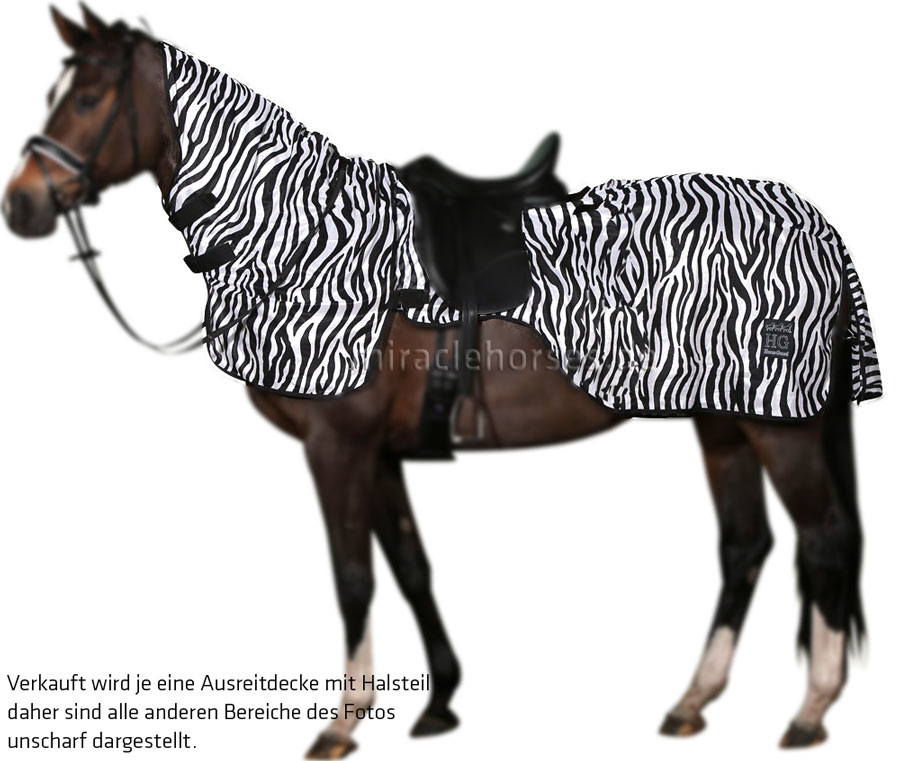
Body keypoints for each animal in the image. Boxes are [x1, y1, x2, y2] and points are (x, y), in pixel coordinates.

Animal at [2, 7, 870, 756]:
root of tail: (818, 228)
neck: (309, 242)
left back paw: (810, 709)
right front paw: (440, 702)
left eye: (86, 98)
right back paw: (694, 699)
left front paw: (342, 723)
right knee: (745, 544)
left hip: (779, 428)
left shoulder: (336, 446)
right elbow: (411, 567)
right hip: (722, 423)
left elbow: (353, 577)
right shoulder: (381, 452)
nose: (22, 204)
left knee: (824, 537)